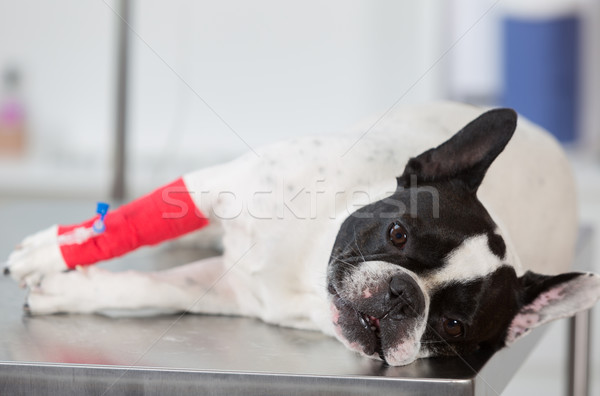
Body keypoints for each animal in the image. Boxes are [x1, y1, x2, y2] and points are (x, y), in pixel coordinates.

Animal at [5, 102, 600, 366]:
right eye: (398, 233)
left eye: (453, 326)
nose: (402, 294)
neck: (310, 258)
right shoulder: (217, 186)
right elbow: (128, 222)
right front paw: (54, 252)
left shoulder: (232, 292)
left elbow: (147, 288)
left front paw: (67, 288)